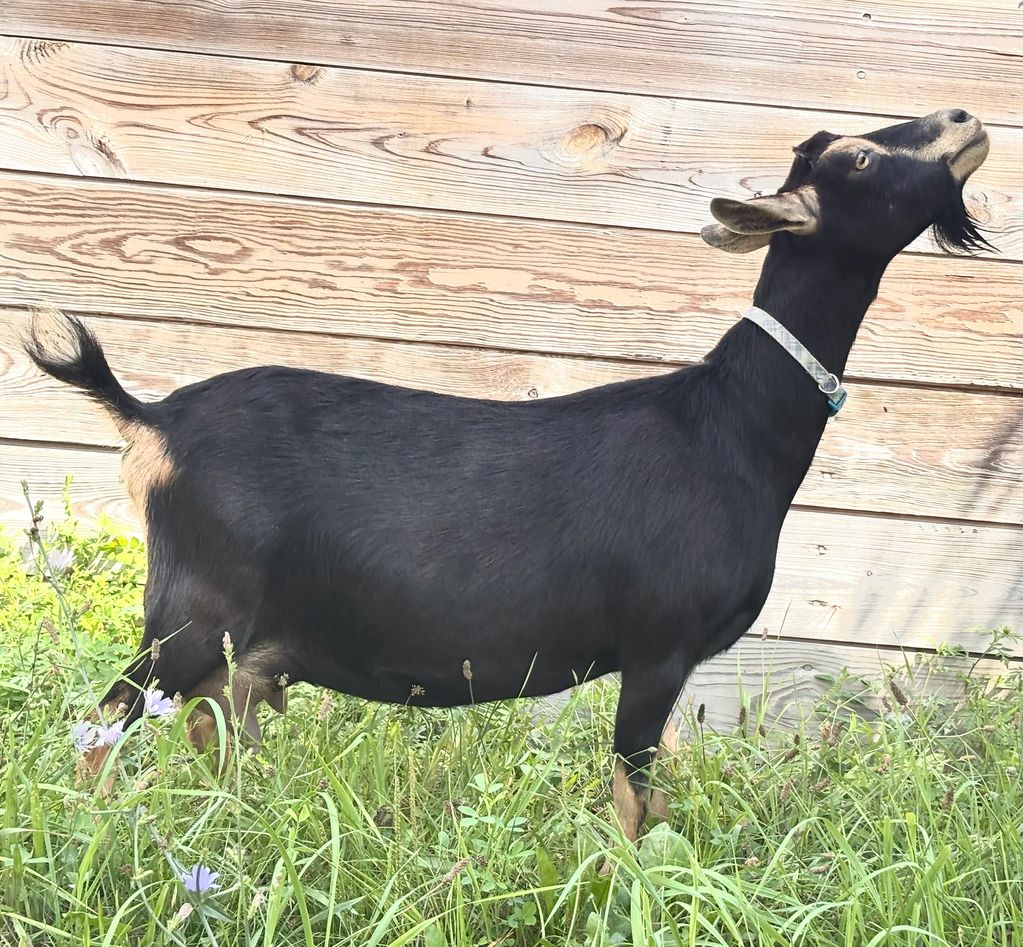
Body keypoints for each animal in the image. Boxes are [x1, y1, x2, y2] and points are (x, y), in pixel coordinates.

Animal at [27, 108, 990, 845]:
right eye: (859, 158)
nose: (962, 121)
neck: (727, 425)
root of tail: (152, 418)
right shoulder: (657, 647)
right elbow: (633, 800)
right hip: (191, 617)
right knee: (100, 728)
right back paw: (93, 834)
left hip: (244, 650)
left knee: (211, 726)